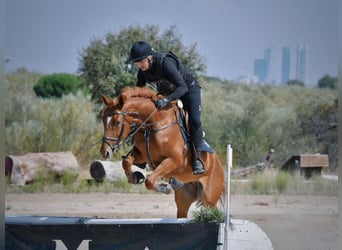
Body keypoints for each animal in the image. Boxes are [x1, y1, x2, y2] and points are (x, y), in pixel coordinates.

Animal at [100, 87, 226, 218]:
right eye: (103, 119)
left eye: (117, 122)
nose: (105, 152)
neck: (154, 124)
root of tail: (220, 166)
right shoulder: (142, 155)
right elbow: (126, 162)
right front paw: (135, 178)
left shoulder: (173, 160)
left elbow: (149, 182)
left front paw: (165, 188)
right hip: (183, 200)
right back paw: (177, 183)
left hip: (209, 200)